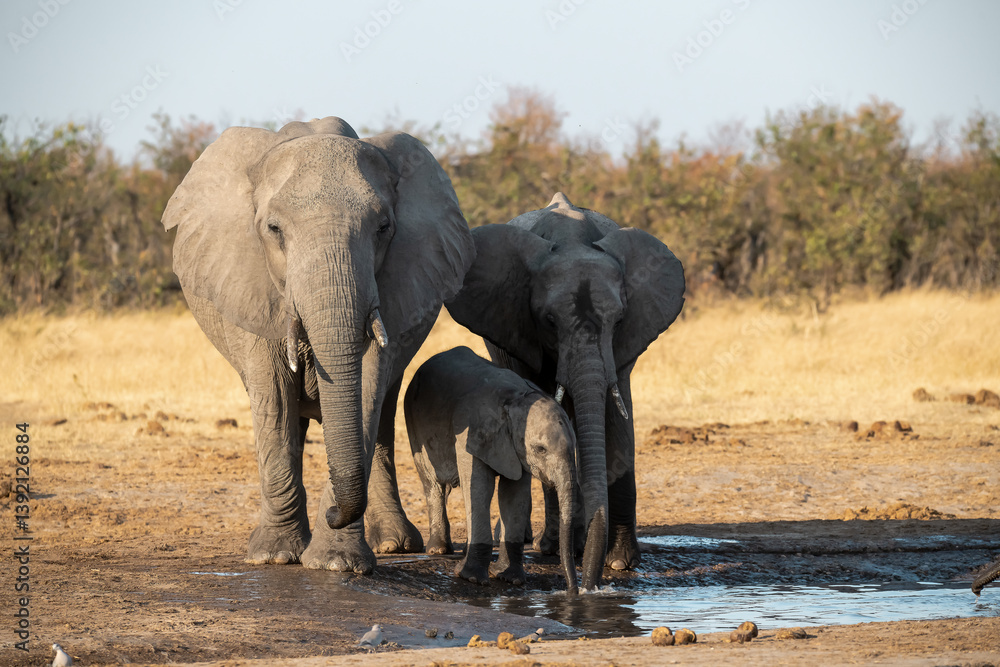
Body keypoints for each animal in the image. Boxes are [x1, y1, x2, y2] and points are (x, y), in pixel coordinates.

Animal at [161, 117, 475, 573]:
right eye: (274, 230)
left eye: (384, 228)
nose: (332, 512)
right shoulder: (252, 284)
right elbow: (274, 395)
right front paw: (274, 556)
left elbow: (365, 388)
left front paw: (336, 563)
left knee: (382, 413)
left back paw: (394, 545)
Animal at [404, 346, 578, 594]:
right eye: (541, 449)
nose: (574, 591)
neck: (516, 397)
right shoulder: (471, 434)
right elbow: (480, 488)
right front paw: (471, 578)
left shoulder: (516, 448)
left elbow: (513, 496)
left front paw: (509, 579)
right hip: (414, 422)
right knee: (432, 484)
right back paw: (438, 550)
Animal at [446, 192, 685, 590]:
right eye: (549, 320)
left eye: (619, 320)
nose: (587, 587)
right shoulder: (517, 330)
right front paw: (570, 553)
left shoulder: (622, 345)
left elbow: (617, 422)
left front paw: (620, 563)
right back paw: (548, 544)